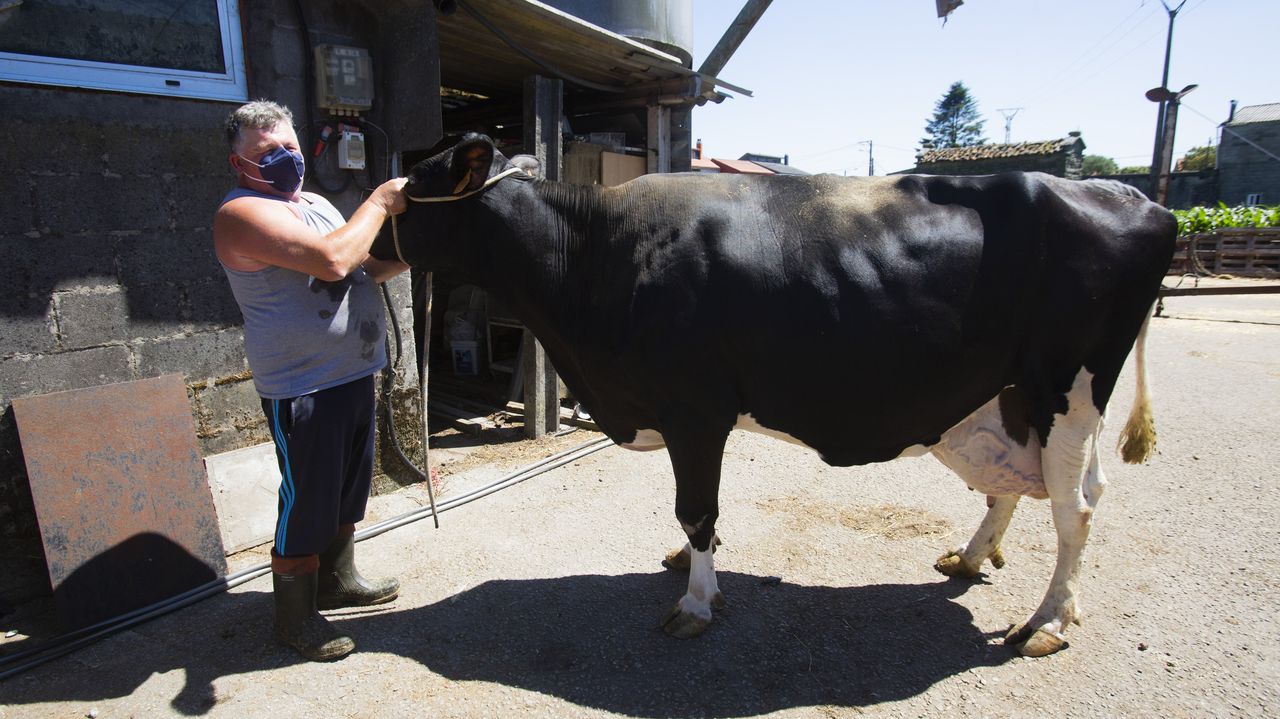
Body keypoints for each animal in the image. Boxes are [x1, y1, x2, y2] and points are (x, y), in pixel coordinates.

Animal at [371, 133, 1177, 657]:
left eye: (406, 192)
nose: (367, 242)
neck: (597, 251)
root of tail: (1128, 194)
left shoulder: (695, 408)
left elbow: (696, 507)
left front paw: (697, 600)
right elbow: (699, 514)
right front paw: (692, 566)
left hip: (1068, 388)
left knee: (1075, 508)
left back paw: (1048, 621)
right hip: (1005, 397)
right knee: (1023, 485)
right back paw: (974, 559)